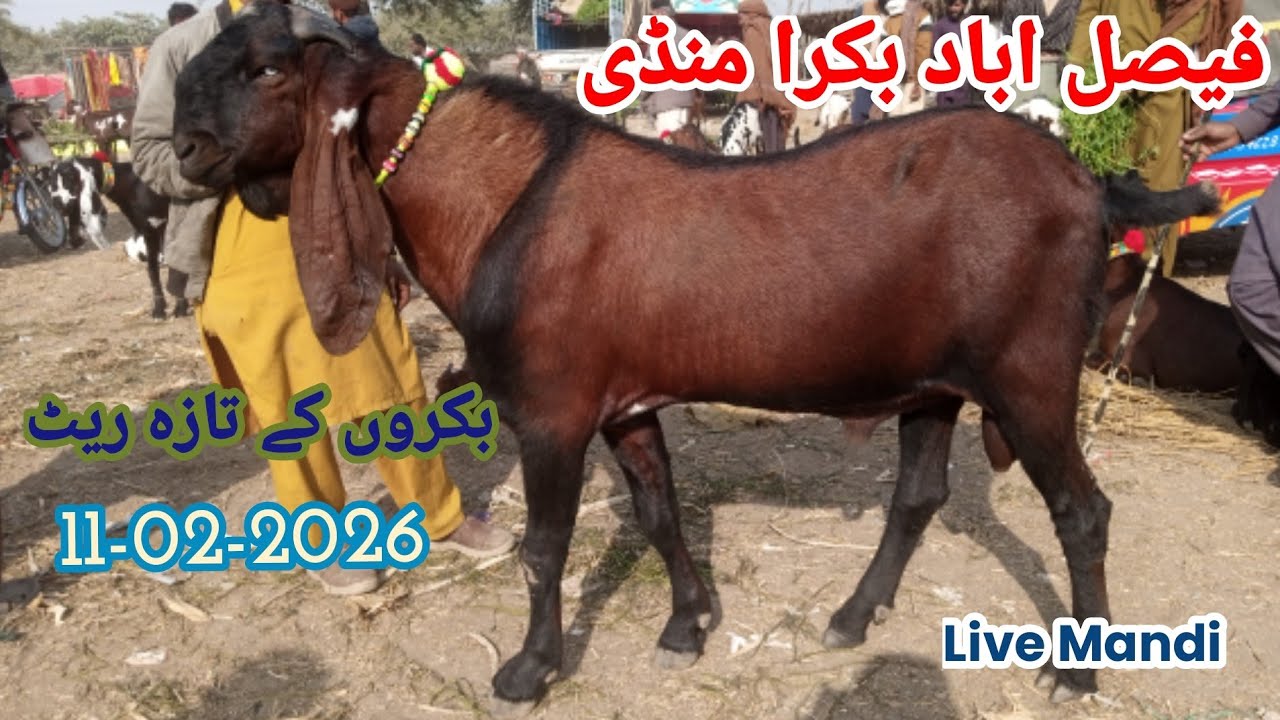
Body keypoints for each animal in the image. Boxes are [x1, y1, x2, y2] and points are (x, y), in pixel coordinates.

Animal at [44, 156, 189, 319]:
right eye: (51, 183)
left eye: (70, 180)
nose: (57, 204)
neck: (133, 183)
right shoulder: (148, 229)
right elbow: (154, 270)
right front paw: (164, 308)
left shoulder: (161, 225)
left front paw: (174, 308)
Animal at [171, 5, 1220, 710]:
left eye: (264, 69)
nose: (181, 147)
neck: (509, 199)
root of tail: (1091, 183)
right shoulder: (626, 404)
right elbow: (660, 511)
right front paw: (689, 623)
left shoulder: (551, 409)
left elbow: (544, 548)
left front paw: (528, 668)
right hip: (936, 380)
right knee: (918, 495)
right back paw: (853, 615)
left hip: (1030, 373)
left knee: (1082, 510)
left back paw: (1078, 668)